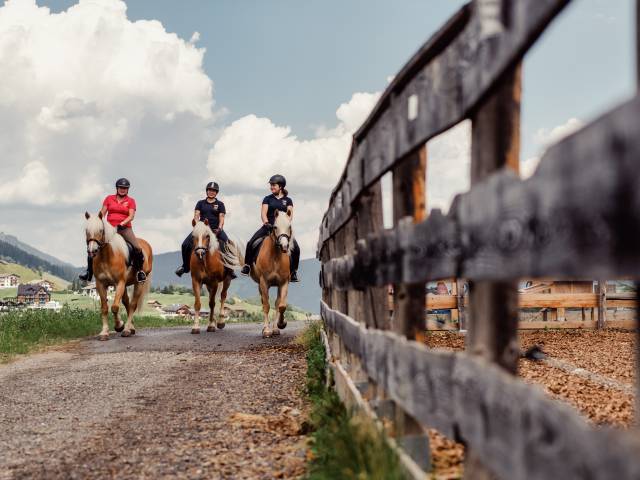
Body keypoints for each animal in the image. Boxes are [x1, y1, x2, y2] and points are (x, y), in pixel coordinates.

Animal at [84, 213, 153, 342]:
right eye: (86, 230)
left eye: (101, 230)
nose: (92, 250)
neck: (106, 257)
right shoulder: (101, 284)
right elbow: (104, 308)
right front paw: (104, 332)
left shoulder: (119, 283)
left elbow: (115, 307)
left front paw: (119, 326)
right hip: (125, 285)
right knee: (127, 303)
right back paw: (131, 328)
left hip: (138, 283)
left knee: (132, 305)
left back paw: (126, 329)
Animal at [249, 210, 294, 338]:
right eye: (275, 227)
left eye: (289, 226)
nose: (284, 246)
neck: (275, 257)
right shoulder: (264, 282)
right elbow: (266, 306)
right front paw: (266, 331)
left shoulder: (284, 283)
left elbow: (281, 305)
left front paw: (281, 324)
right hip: (260, 284)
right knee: (264, 302)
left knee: (277, 303)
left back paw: (275, 329)